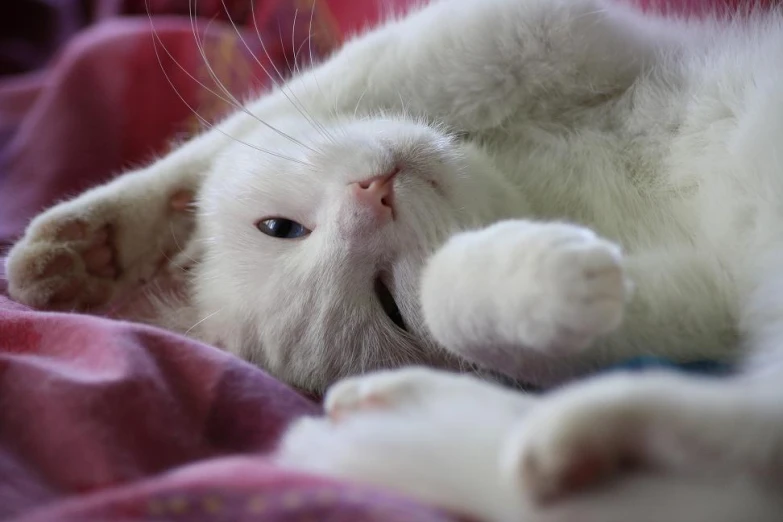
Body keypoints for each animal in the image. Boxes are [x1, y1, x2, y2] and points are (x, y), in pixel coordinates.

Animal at [4, 0, 783, 398]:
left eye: (278, 227)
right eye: (388, 304)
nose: (372, 196)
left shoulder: (524, 28)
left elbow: (249, 129)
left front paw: (92, 244)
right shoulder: (702, 299)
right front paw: (533, 281)